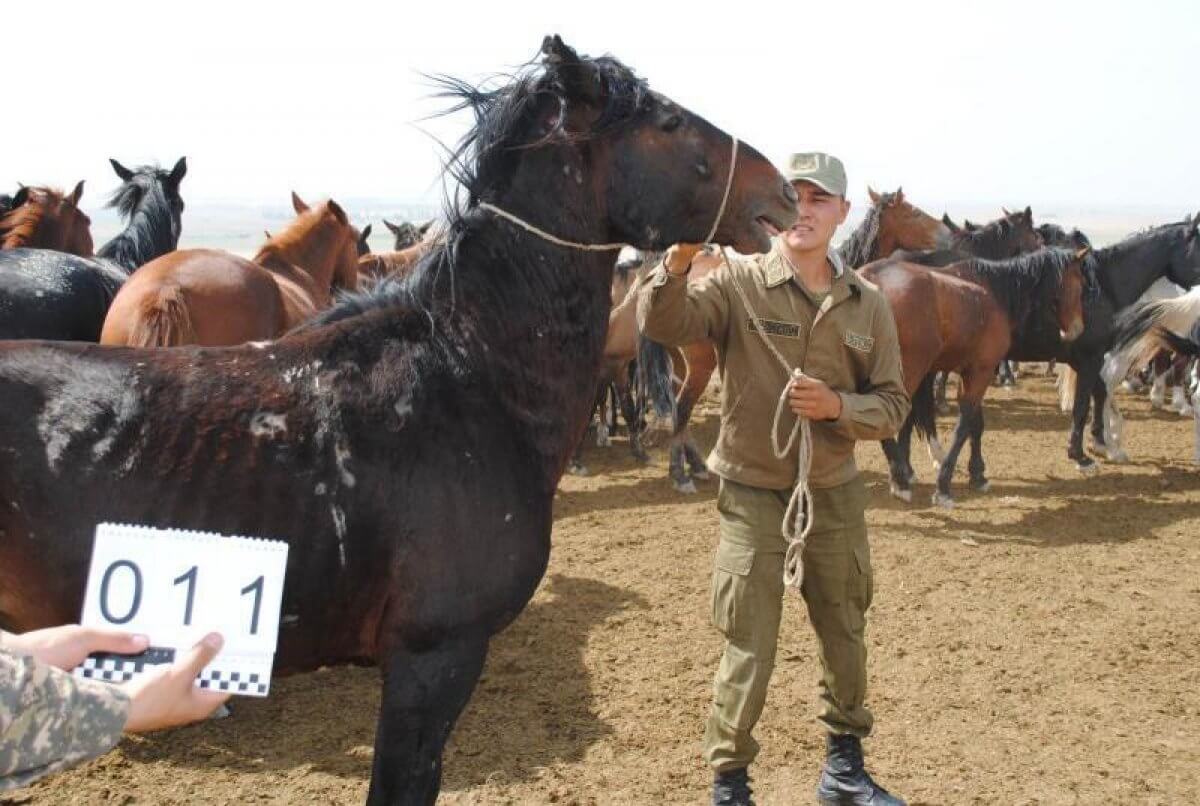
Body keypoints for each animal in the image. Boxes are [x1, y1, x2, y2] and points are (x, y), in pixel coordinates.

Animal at [859, 248, 1094, 506]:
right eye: (1080, 284)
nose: (1077, 329)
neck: (994, 292)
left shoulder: (970, 372)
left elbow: (975, 424)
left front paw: (977, 473)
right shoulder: (982, 371)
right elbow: (964, 426)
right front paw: (944, 485)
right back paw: (900, 479)